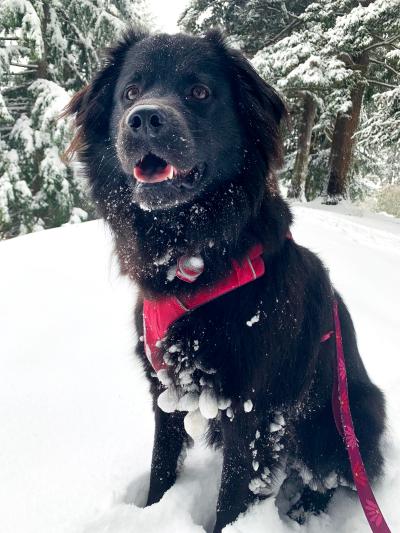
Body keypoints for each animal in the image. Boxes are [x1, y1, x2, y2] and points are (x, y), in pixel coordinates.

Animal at [64, 29, 386, 532]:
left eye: (199, 92)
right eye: (130, 93)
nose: (144, 119)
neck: (196, 260)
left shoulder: (252, 411)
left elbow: (231, 499)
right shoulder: (164, 392)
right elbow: (161, 468)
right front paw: (153, 512)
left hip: (341, 420)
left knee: (330, 478)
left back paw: (303, 511)